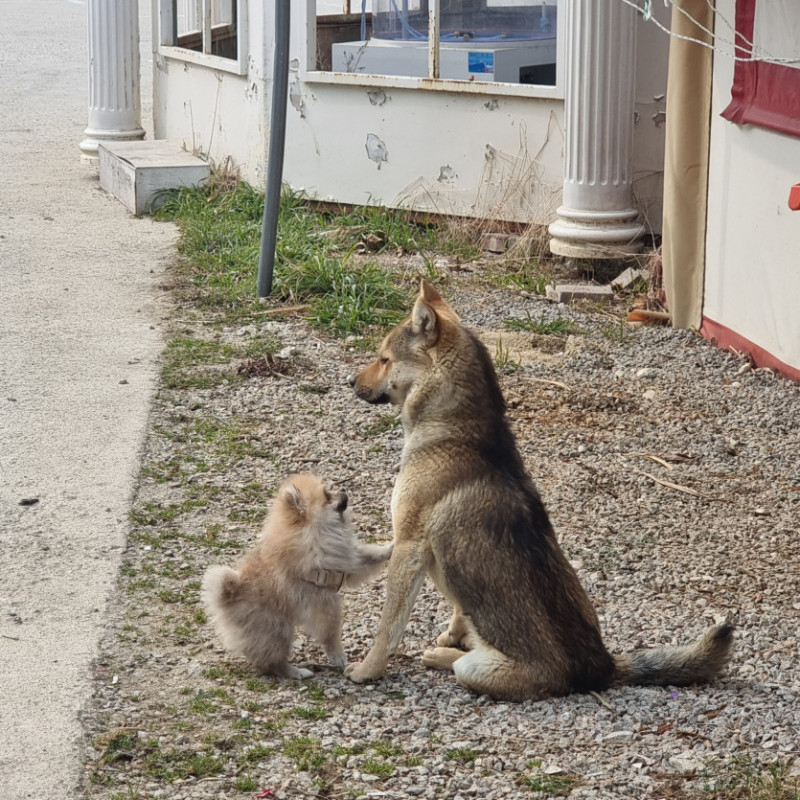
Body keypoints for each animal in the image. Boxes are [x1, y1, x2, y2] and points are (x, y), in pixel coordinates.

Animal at [202, 472, 392, 680]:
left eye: (330, 489)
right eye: (327, 496)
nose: (343, 489)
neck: (314, 534)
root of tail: (228, 595)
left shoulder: (349, 563)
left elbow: (370, 554)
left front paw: (390, 548)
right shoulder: (323, 600)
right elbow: (330, 633)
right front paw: (338, 655)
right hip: (277, 629)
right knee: (273, 662)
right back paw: (296, 672)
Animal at [344, 280, 732, 700]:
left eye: (383, 359)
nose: (349, 382)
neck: (457, 429)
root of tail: (602, 667)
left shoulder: (408, 548)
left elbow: (388, 625)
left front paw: (368, 669)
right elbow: (461, 607)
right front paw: (454, 632)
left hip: (473, 671)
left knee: (462, 665)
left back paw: (444, 657)